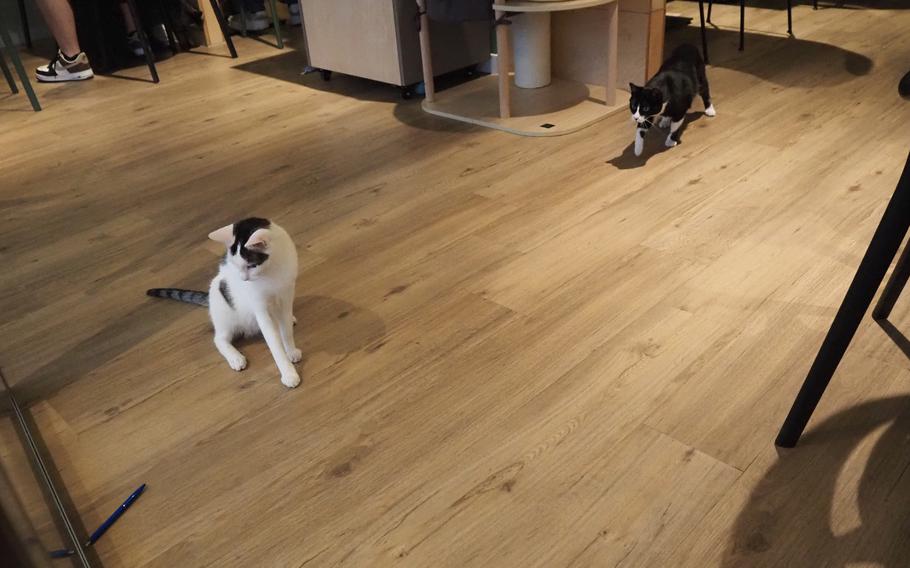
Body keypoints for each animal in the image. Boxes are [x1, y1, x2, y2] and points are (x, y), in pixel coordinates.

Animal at [147, 216, 302, 386]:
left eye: (251, 266)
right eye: (236, 266)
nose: (243, 279)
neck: (272, 270)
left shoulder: (286, 295)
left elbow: (286, 330)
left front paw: (291, 350)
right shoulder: (260, 308)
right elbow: (274, 343)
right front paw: (288, 373)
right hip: (225, 313)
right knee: (219, 339)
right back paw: (235, 358)